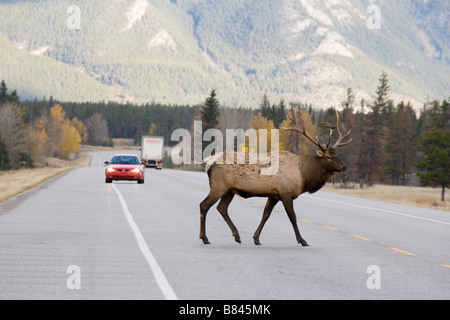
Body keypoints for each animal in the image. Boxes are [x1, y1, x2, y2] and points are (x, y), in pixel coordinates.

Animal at [200, 109, 352, 245]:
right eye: (328, 156)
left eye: (337, 154)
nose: (344, 167)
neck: (303, 175)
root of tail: (209, 161)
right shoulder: (285, 192)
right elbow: (292, 217)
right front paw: (302, 240)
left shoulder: (274, 195)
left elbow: (265, 215)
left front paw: (256, 238)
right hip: (219, 186)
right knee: (204, 205)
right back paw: (205, 238)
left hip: (229, 190)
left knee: (222, 208)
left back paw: (236, 236)